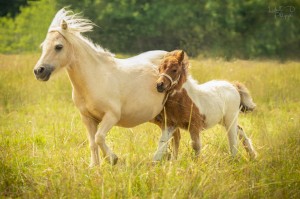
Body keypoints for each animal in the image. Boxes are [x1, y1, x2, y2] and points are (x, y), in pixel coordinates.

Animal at [34, 8, 169, 166]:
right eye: (43, 46)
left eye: (58, 46)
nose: (39, 71)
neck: (95, 79)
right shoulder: (87, 118)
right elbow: (92, 142)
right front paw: (94, 166)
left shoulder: (111, 115)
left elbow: (99, 137)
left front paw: (112, 158)